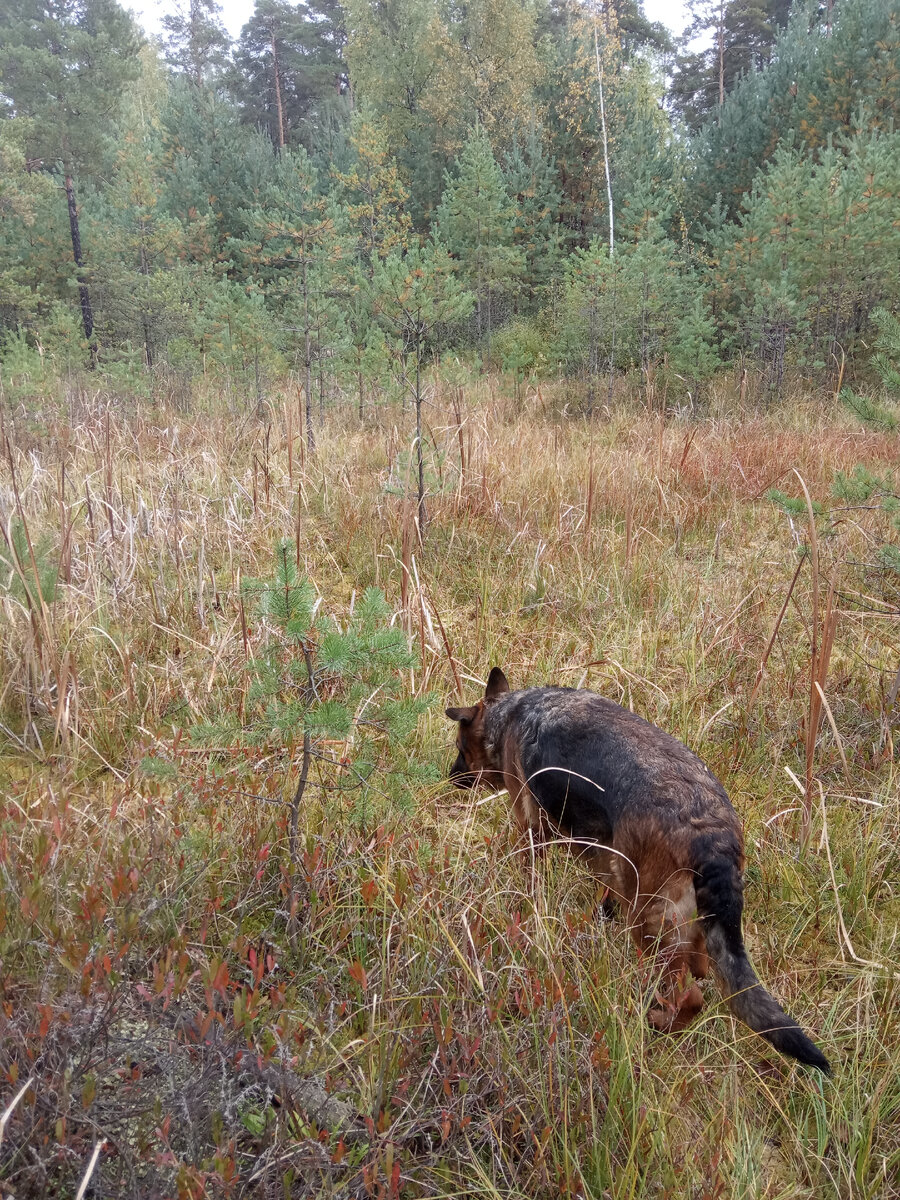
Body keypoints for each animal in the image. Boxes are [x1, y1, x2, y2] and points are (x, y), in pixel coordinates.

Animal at [448, 672, 835, 1075]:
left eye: (460, 746)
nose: (450, 778)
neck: (511, 711)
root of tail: (713, 836)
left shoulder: (530, 829)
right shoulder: (607, 859)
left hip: (649, 922)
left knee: (690, 996)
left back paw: (658, 1023)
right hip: (686, 923)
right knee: (700, 967)